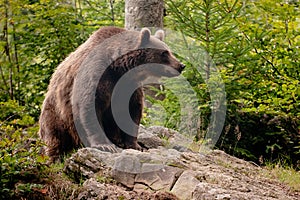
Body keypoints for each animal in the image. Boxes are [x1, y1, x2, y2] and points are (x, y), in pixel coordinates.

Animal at [38, 26, 184, 161]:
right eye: (164, 53)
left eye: (169, 50)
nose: (181, 66)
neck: (118, 66)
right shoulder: (96, 75)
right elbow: (90, 106)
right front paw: (105, 145)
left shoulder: (127, 85)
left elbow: (131, 111)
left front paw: (136, 145)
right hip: (55, 113)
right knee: (55, 136)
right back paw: (55, 157)